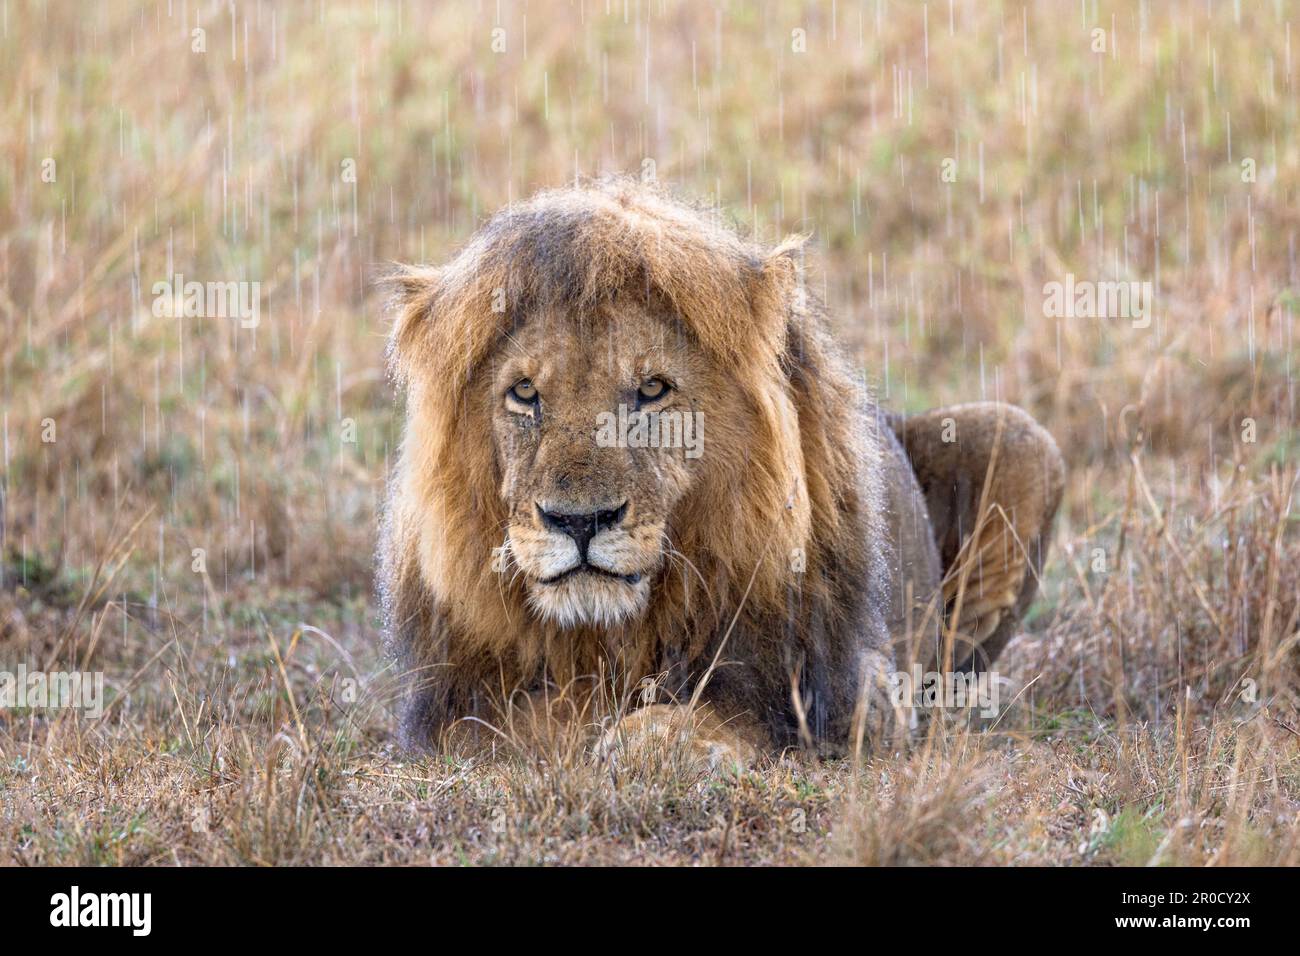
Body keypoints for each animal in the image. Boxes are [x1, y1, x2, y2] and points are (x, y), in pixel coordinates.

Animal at [379, 175, 1066, 764]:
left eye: (652, 389)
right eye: (524, 393)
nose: (579, 522)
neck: (611, 633)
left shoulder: (851, 689)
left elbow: (724, 712)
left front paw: (648, 739)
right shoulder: (450, 710)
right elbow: (519, 724)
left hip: (1026, 441)